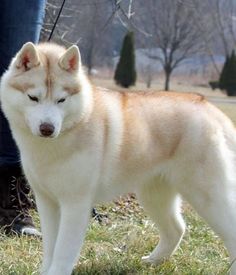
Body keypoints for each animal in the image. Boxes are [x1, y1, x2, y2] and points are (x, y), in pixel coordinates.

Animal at [1, 42, 236, 274]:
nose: (47, 128)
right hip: (153, 195)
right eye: (33, 98)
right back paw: (153, 260)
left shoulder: (75, 204)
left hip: (207, 196)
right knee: (177, 228)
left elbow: (63, 251)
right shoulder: (47, 201)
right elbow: (50, 247)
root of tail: (209, 107)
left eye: (61, 100)